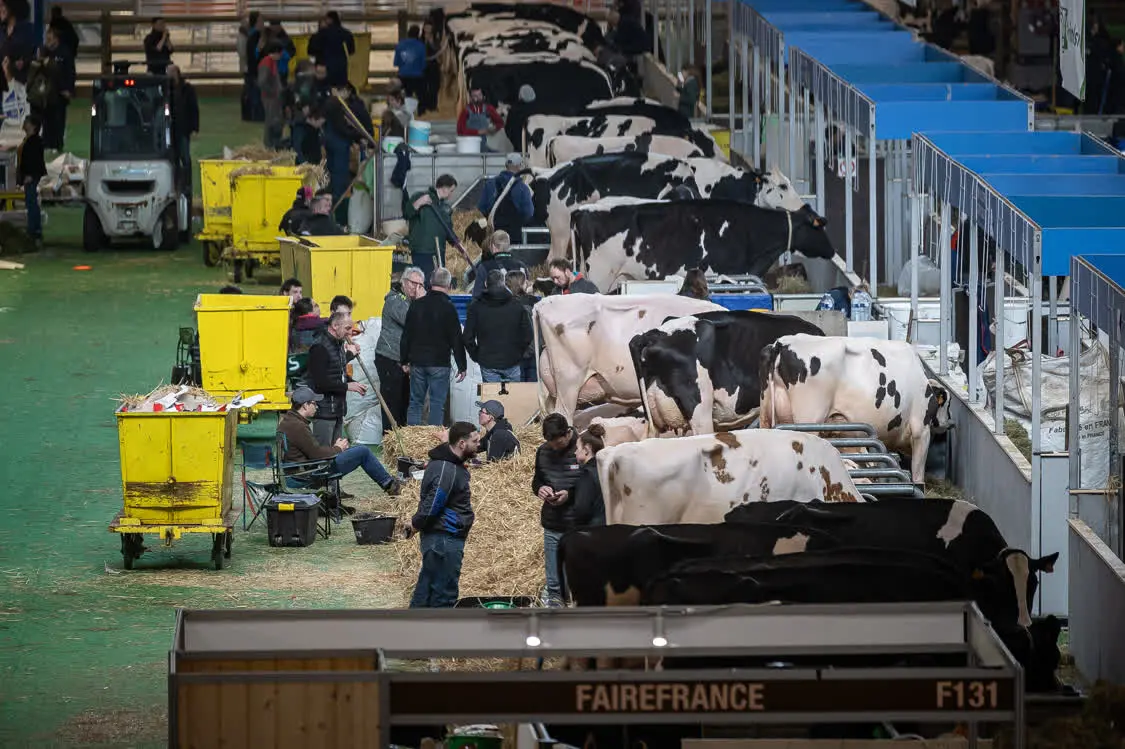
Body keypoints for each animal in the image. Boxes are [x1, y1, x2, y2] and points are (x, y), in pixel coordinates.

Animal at [760, 332, 954, 483]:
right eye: (946, 403)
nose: (950, 423)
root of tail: (781, 343)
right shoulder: (921, 430)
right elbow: (918, 476)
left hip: (766, 416)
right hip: (808, 421)